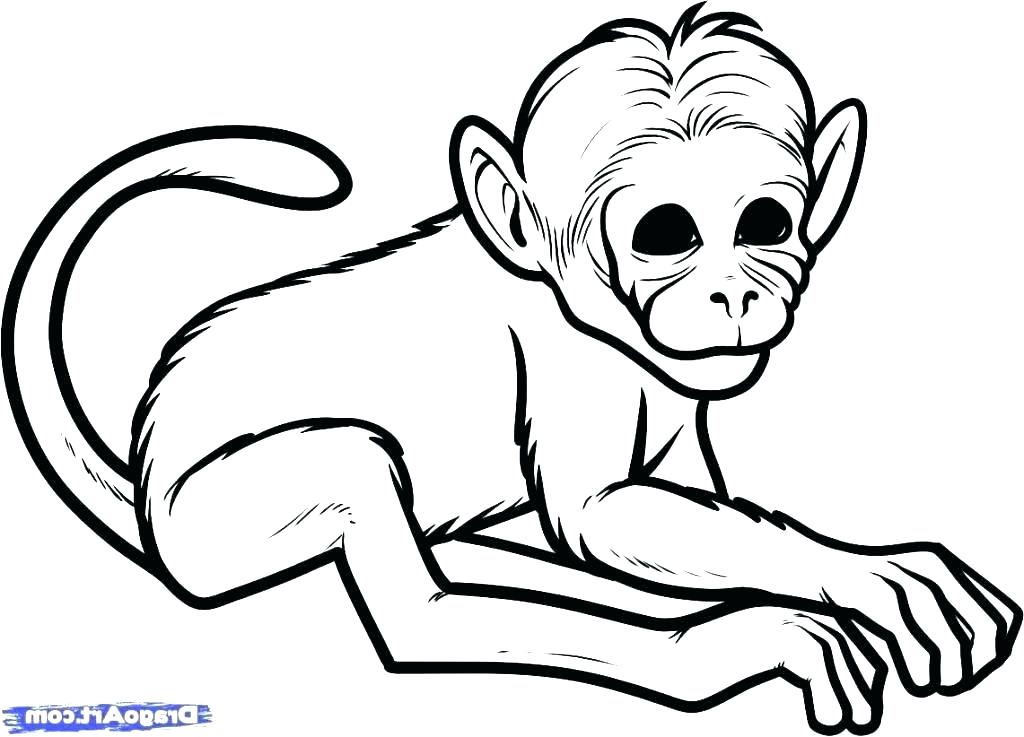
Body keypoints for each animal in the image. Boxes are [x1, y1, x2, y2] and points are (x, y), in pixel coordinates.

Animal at [3, 5, 1019, 735]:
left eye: (766, 223)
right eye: (666, 234)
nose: (734, 293)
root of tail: (144, 478)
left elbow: (687, 510)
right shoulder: (575, 366)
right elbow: (598, 514)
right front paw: (842, 584)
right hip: (213, 520)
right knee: (411, 589)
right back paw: (707, 648)